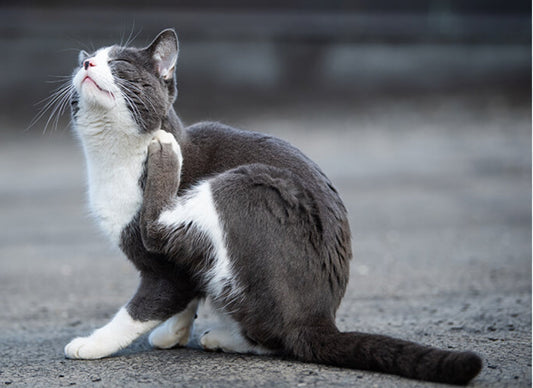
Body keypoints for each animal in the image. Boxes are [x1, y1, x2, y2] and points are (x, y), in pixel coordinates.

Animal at [62, 28, 482, 384]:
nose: (87, 64)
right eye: (86, 61)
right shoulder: (182, 273)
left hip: (248, 185)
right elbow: (185, 294)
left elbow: (144, 306)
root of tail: (320, 318)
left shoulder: (162, 271)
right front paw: (174, 332)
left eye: (119, 63)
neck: (114, 161)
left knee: (272, 331)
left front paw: (92, 344)